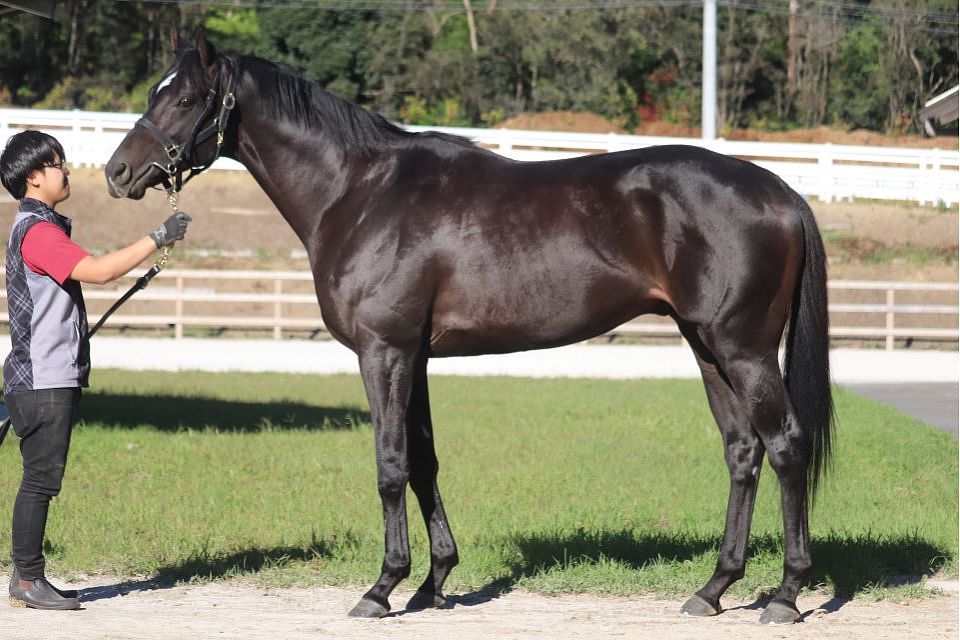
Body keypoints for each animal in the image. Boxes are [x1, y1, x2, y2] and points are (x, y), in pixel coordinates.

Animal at [105, 30, 833, 625]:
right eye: (156, 91)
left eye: (186, 98)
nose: (118, 173)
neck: (361, 193)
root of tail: (781, 191)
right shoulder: (416, 357)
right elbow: (424, 460)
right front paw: (433, 584)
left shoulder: (384, 353)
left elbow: (390, 465)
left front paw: (382, 588)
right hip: (707, 347)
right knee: (743, 452)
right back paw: (713, 589)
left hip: (744, 350)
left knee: (786, 446)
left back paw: (785, 595)